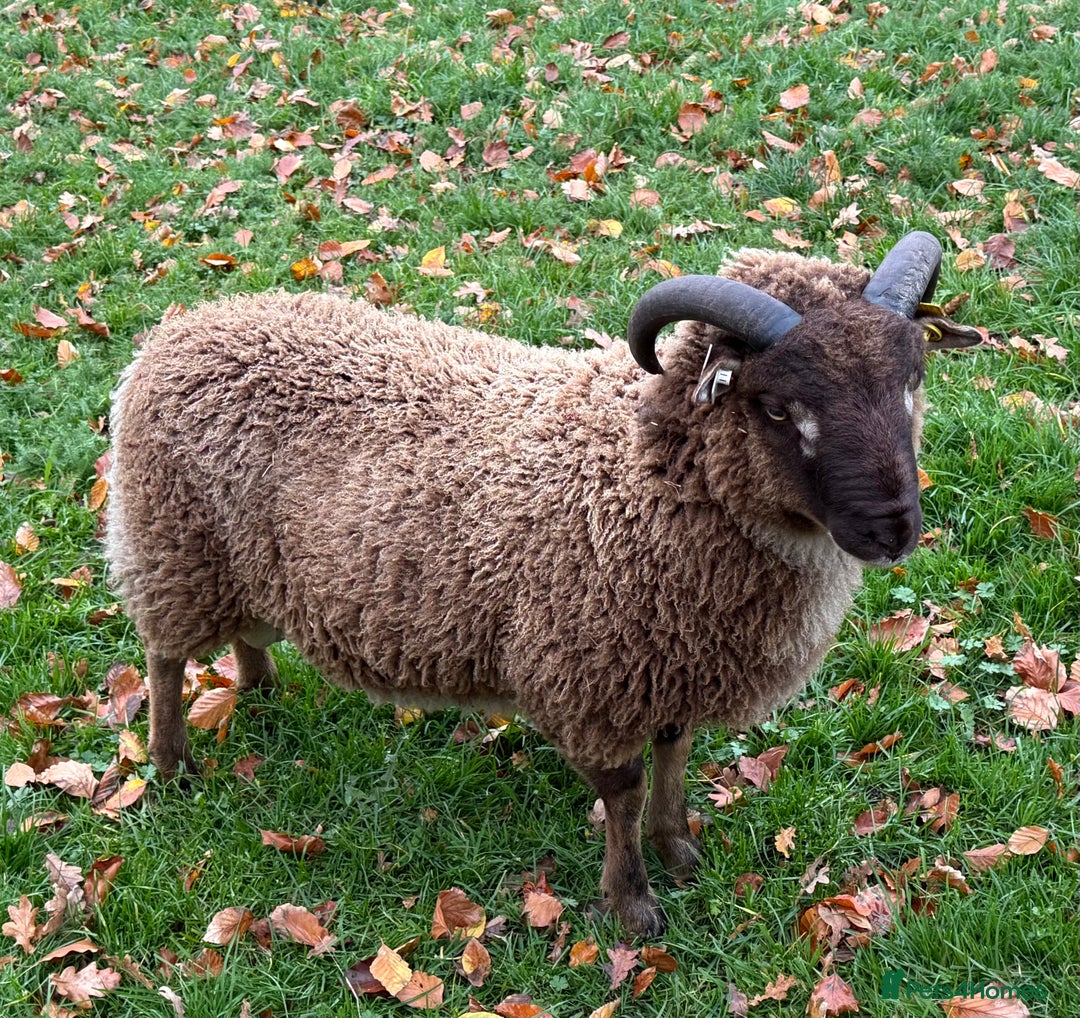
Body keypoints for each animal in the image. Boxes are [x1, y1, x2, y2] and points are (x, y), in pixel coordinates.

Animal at [105, 231, 982, 937]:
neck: (638, 475)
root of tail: (180, 329)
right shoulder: (591, 673)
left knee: (244, 634)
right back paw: (173, 765)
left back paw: (260, 688)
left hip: (238, 562)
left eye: (913, 381)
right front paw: (632, 905)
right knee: (165, 658)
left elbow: (675, 753)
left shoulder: (672, 662)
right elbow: (623, 788)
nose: (892, 528)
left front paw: (679, 849)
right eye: (773, 407)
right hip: (174, 543)